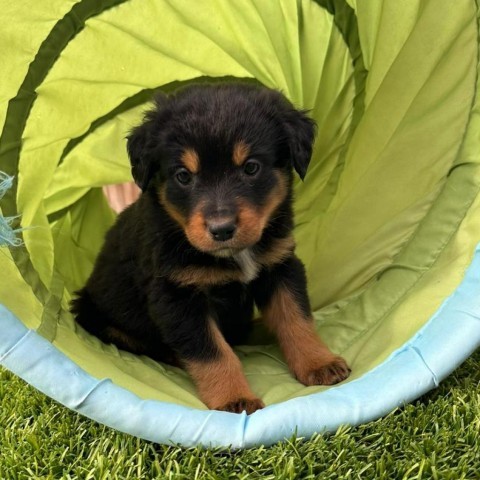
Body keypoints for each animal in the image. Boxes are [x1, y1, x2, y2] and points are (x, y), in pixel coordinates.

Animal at [70, 82, 348, 412]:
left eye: (251, 167)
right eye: (183, 176)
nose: (222, 229)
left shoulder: (279, 266)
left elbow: (296, 318)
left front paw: (319, 363)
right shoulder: (177, 296)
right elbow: (211, 352)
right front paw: (234, 398)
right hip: (95, 315)